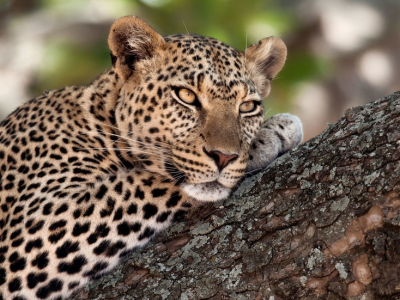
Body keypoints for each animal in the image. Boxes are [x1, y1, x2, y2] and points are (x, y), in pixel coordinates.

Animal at [0, 17, 300, 300]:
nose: (224, 157)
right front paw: (270, 136)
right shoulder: (30, 232)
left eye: (247, 106)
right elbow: (140, 182)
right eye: (186, 96)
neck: (101, 118)